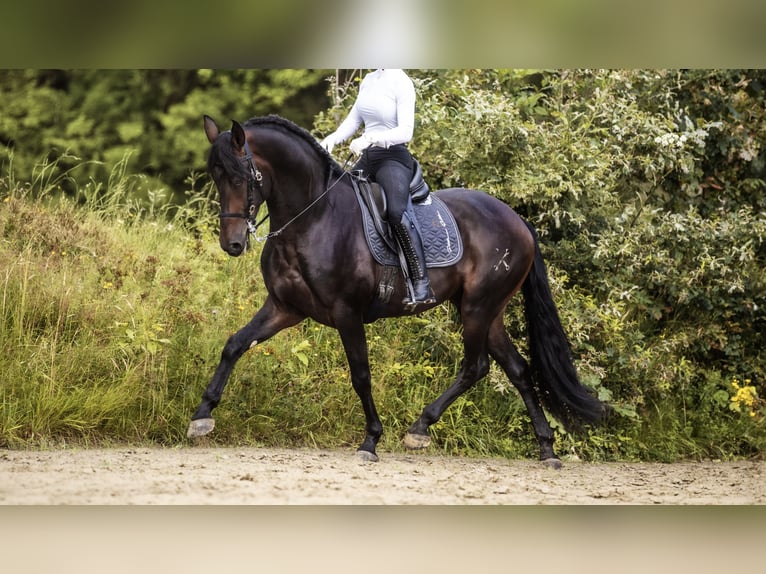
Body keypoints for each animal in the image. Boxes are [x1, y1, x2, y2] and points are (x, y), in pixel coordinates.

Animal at [190, 115, 608, 470]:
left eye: (242, 177)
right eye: (215, 176)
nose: (232, 244)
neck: (312, 220)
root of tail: (518, 220)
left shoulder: (346, 313)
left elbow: (360, 375)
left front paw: (370, 441)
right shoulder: (283, 308)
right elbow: (235, 344)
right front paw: (202, 416)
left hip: (477, 307)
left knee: (476, 366)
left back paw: (420, 429)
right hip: (488, 311)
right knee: (518, 369)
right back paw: (547, 449)